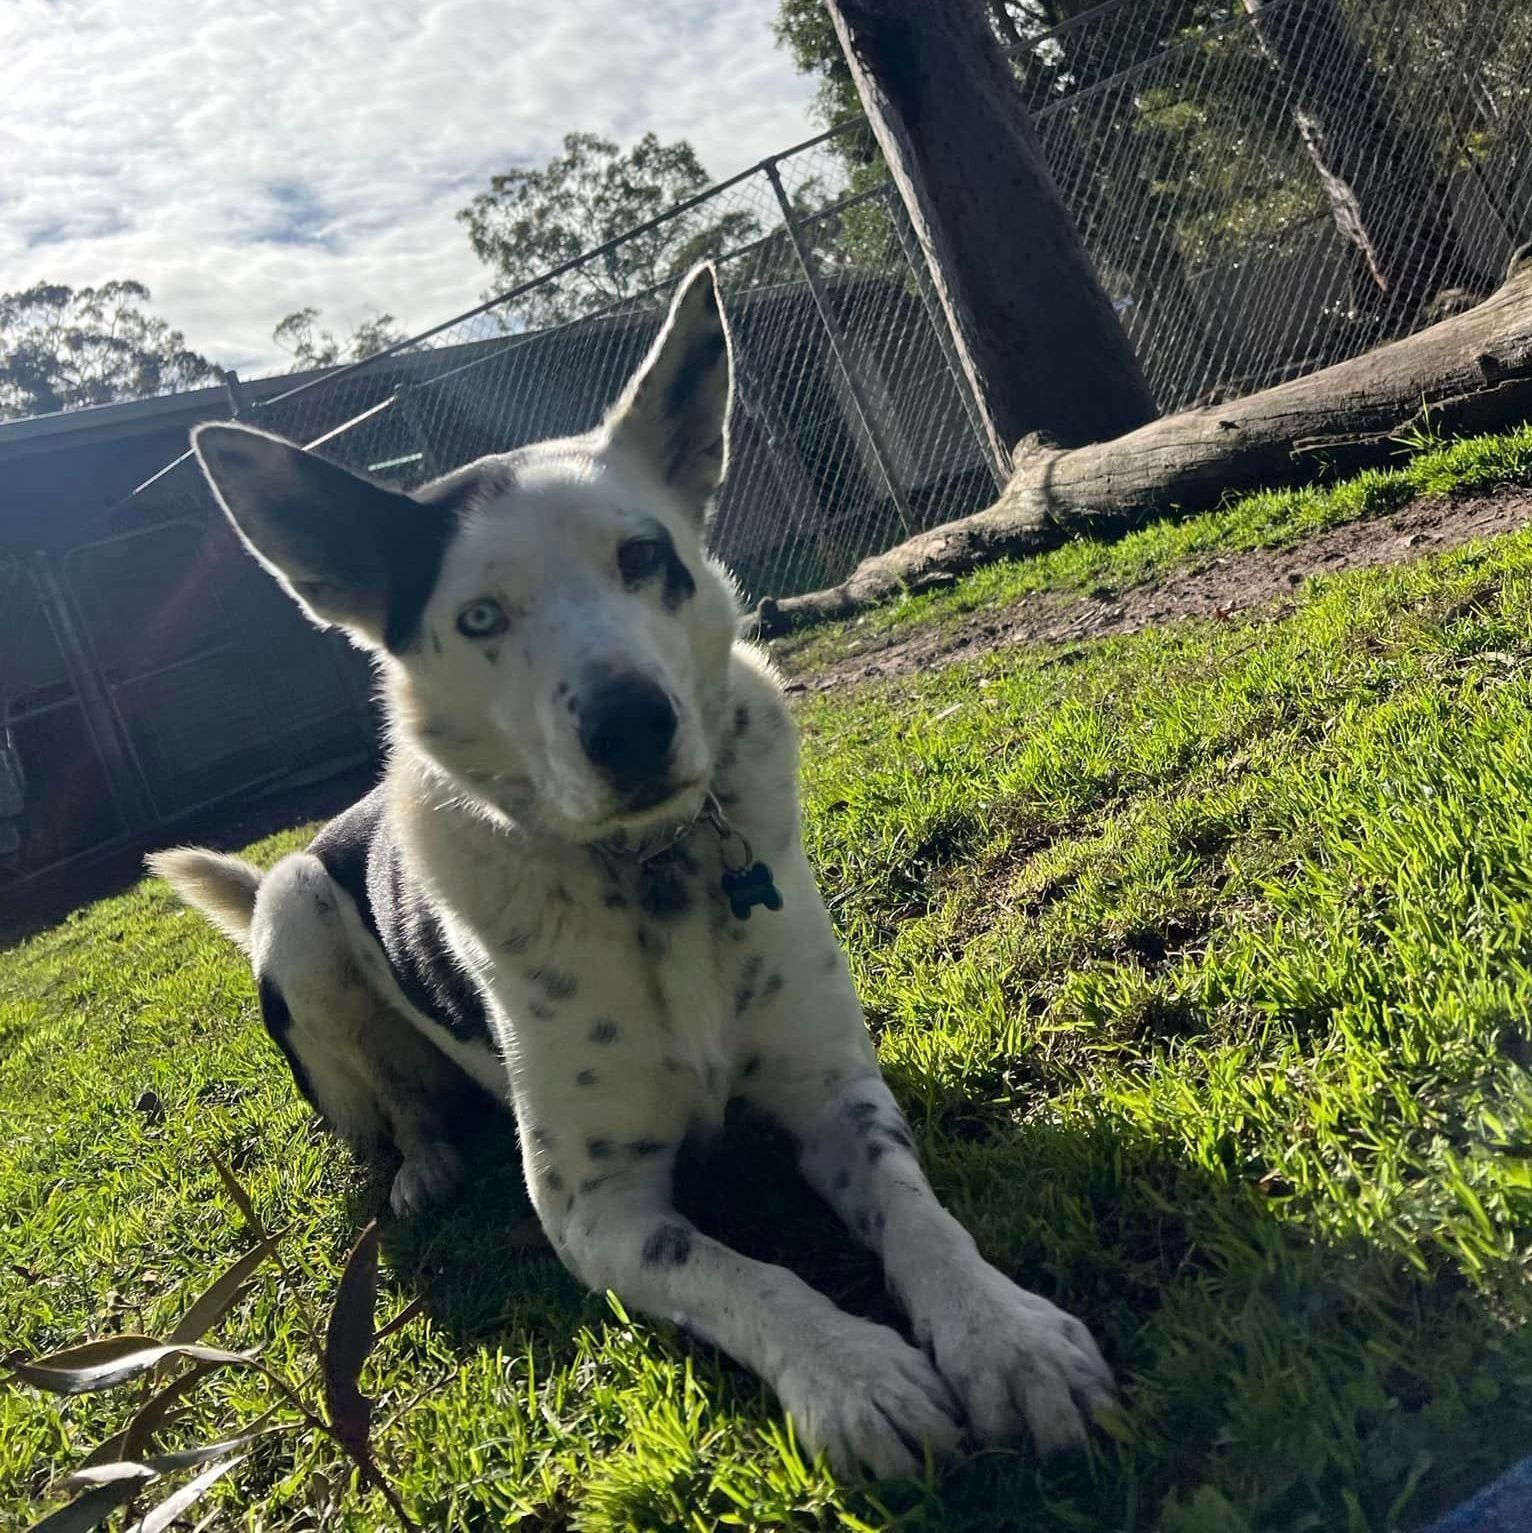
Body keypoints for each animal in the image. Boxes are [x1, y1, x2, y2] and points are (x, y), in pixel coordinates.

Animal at [152, 269, 1116, 1477]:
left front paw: (1003, 1335)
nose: (628, 725)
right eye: (479, 616)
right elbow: (740, 1272)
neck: (653, 867)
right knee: (392, 1105)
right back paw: (423, 1162)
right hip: (296, 913)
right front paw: (854, 1376)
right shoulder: (595, 1205)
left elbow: (916, 1213)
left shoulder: (833, 1091)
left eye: (642, 556)